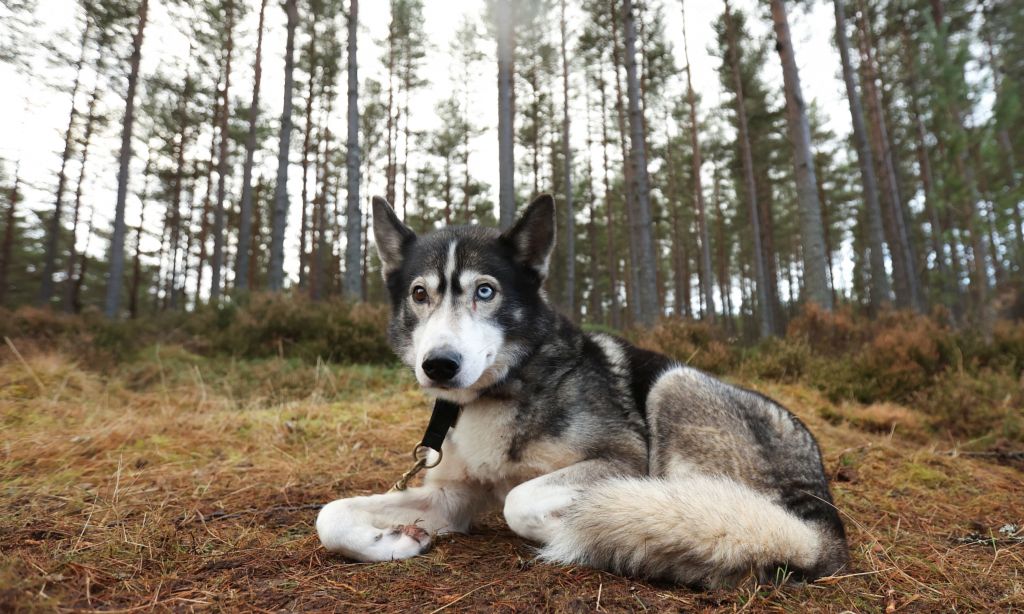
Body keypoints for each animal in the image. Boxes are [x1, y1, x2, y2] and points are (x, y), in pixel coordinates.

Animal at [313, 194, 847, 589]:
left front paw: (588, 527)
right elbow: (330, 515)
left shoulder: (622, 460)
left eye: (485, 291)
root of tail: (823, 522)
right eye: (419, 294)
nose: (439, 366)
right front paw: (395, 540)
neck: (506, 387)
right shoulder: (451, 498)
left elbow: (520, 501)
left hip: (674, 384)